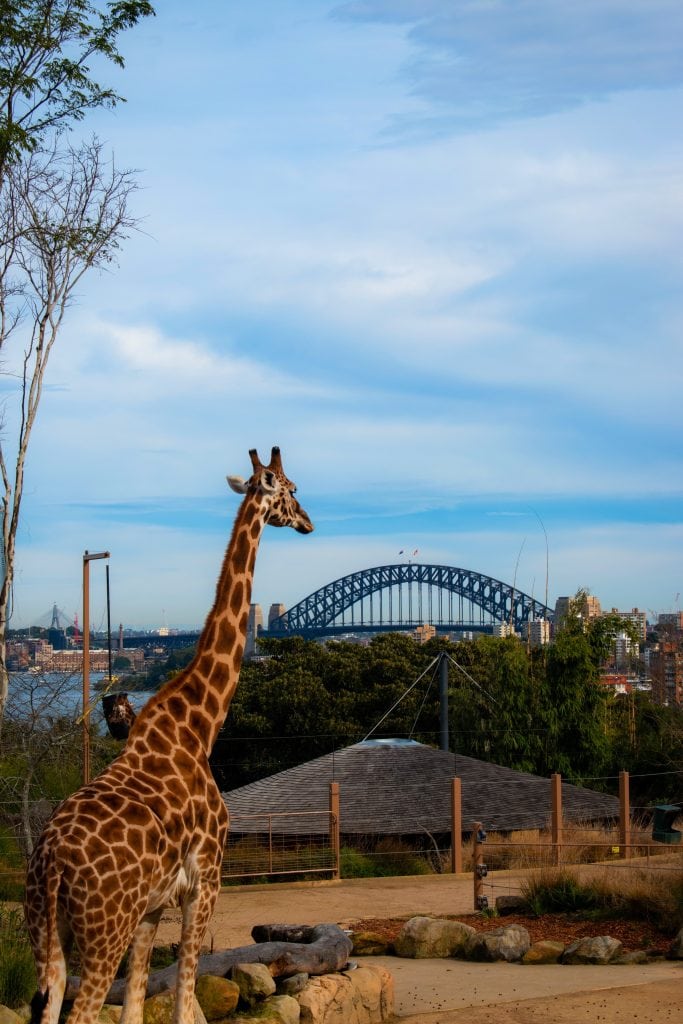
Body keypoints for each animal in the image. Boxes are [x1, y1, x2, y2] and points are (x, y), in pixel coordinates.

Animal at [24, 447, 313, 1024]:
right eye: (290, 489)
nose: (309, 522)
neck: (198, 726)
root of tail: (50, 865)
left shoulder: (152, 907)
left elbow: (138, 1004)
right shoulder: (206, 880)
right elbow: (184, 993)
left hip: (47, 936)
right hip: (102, 933)